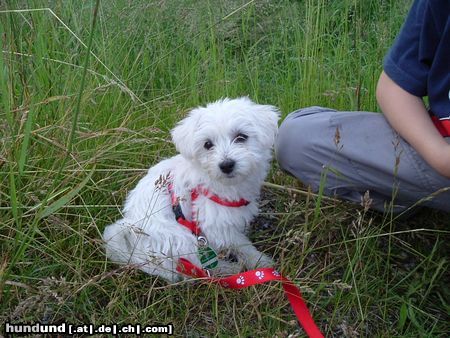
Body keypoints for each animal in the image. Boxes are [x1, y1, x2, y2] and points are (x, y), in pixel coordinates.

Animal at [103, 97, 280, 282]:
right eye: (207, 144)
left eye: (241, 137)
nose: (226, 165)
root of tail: (136, 253)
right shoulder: (217, 225)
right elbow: (242, 245)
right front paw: (260, 262)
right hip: (183, 240)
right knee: (199, 266)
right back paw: (229, 270)